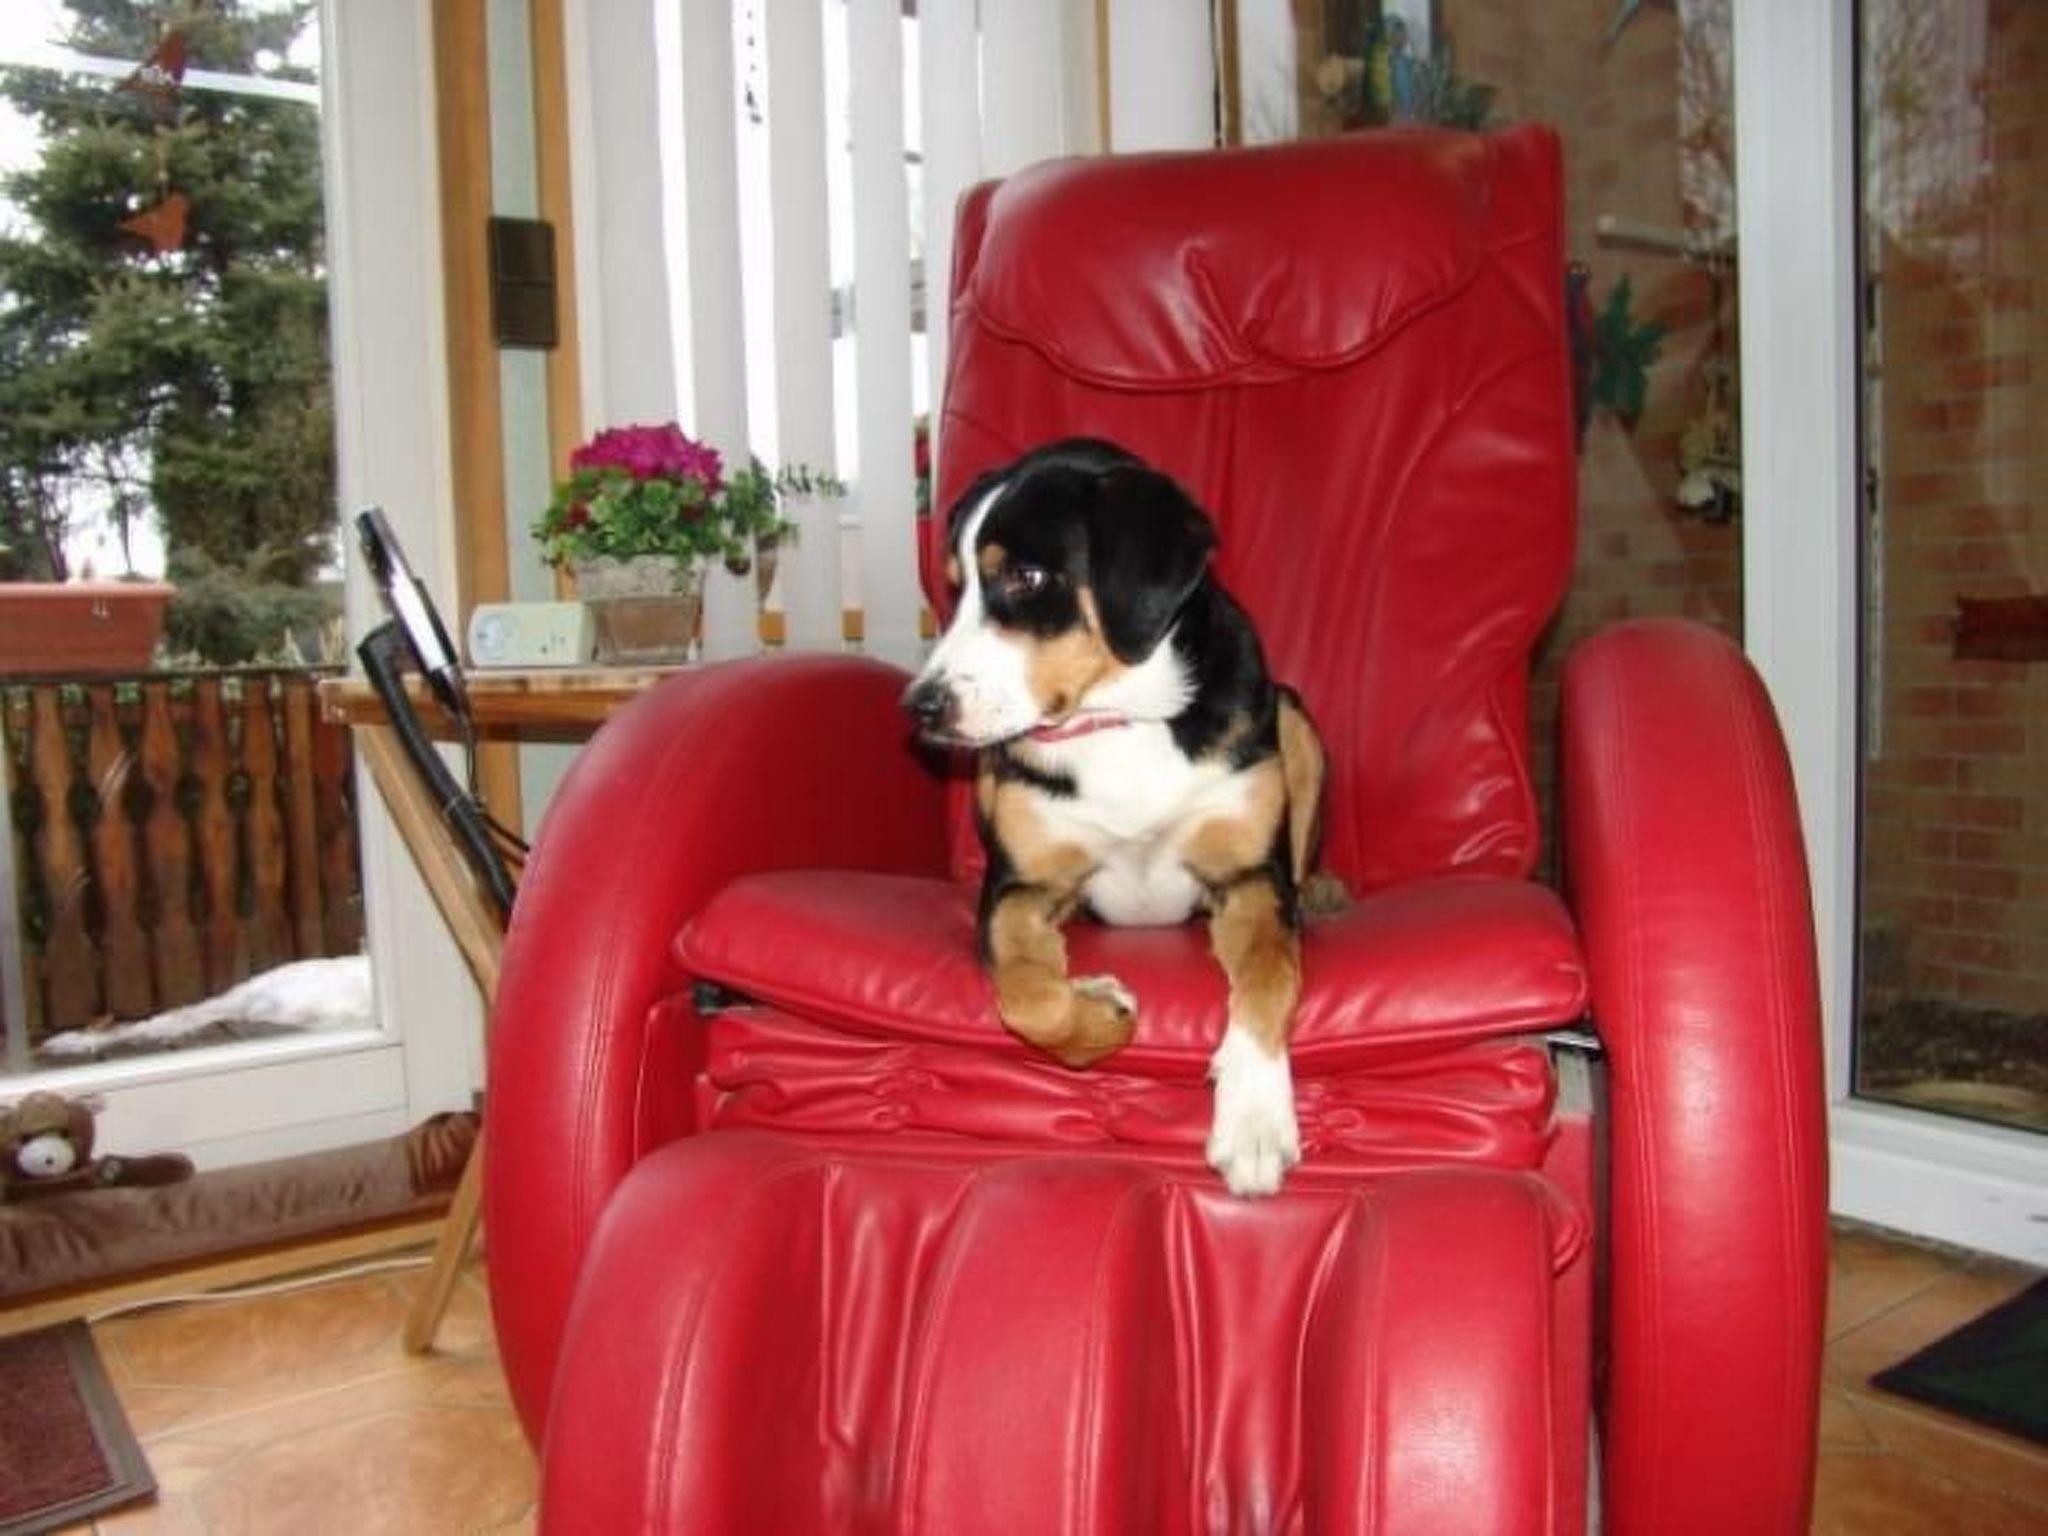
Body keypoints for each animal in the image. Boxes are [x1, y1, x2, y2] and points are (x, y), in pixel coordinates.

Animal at [903, 438, 1329, 1196]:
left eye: (1027, 576)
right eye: (956, 590)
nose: (921, 706)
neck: (1120, 717)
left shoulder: (1250, 879)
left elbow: (1269, 977)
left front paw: (1253, 1120)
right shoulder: (1019, 887)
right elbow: (1028, 997)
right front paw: (1099, 1009)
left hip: (1293, 716)